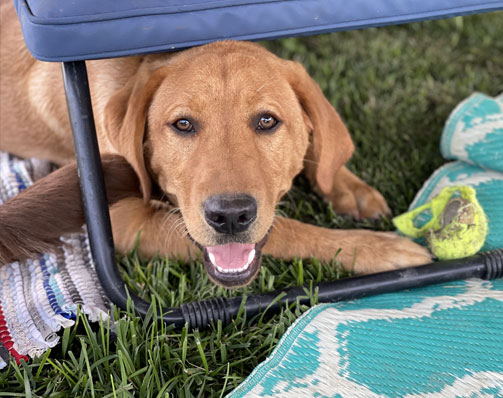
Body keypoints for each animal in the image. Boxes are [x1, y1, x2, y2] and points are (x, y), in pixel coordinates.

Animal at [0, 2, 432, 286]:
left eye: (267, 121)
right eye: (183, 124)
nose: (230, 217)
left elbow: (318, 145)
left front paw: (347, 186)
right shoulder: (127, 221)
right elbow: (288, 229)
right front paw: (376, 250)